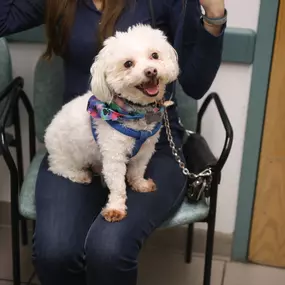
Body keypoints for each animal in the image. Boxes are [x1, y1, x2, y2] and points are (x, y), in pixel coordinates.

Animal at [44, 24, 178, 221]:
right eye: (128, 64)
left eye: (154, 55)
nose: (151, 71)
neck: (134, 113)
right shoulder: (113, 155)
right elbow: (117, 185)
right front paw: (116, 208)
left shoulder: (145, 150)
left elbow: (137, 170)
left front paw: (140, 184)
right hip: (65, 155)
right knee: (57, 167)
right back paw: (80, 175)